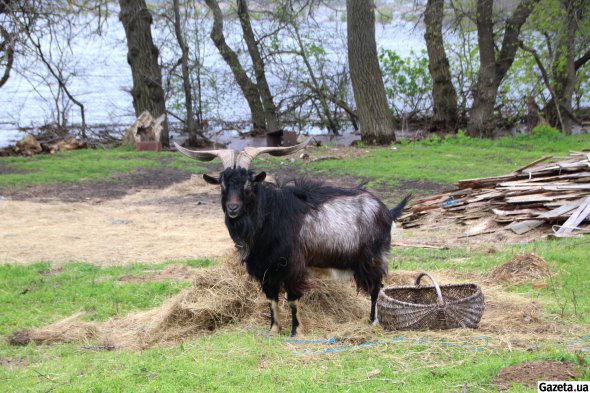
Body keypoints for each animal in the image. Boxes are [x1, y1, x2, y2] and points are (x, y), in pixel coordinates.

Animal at [173, 139, 410, 336]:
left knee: (376, 288)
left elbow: (292, 300)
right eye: (223, 184)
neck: (268, 218)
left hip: (373, 258)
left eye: (248, 184)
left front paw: (296, 331)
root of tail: (387, 211)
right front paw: (273, 330)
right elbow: (272, 300)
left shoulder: (292, 266)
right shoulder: (265, 270)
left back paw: (373, 321)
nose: (233, 208)